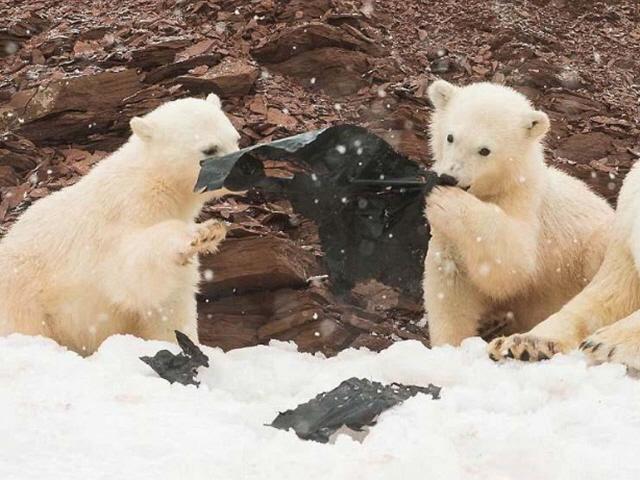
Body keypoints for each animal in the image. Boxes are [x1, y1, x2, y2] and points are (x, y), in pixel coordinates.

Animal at [0, 94, 239, 356]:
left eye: (236, 138)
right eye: (209, 149)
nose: (245, 168)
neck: (152, 184)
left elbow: (170, 301)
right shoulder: (120, 219)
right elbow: (133, 270)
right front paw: (201, 233)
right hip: (24, 291)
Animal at [422, 81, 612, 348]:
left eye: (484, 150)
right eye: (450, 137)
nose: (449, 177)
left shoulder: (527, 205)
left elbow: (514, 262)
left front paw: (448, 202)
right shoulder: (448, 238)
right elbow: (450, 282)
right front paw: (449, 345)